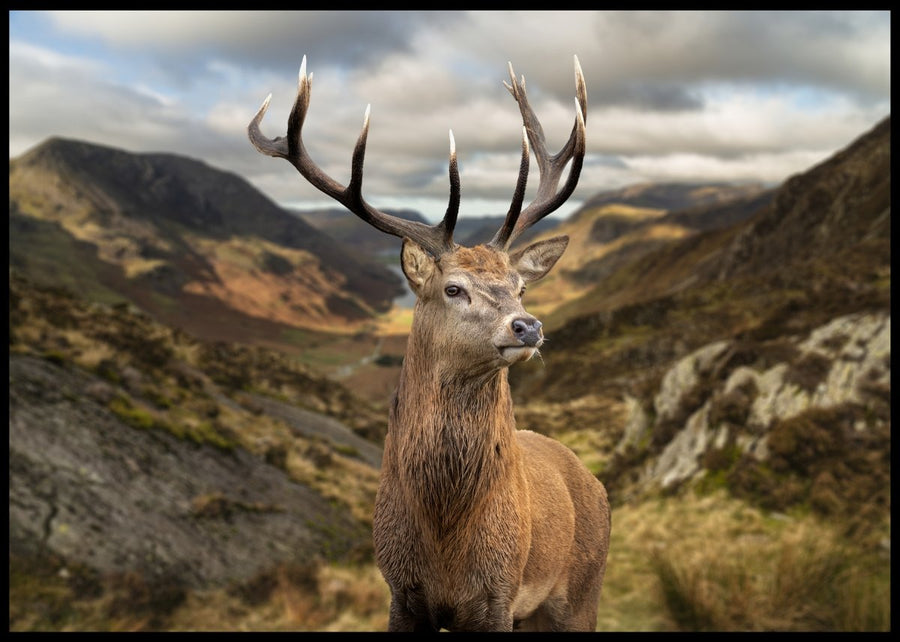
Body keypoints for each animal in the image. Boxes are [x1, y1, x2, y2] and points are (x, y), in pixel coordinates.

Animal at [248, 55, 610, 632]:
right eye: (453, 288)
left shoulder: (497, 596)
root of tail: (593, 482)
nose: (527, 326)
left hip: (581, 593)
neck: (443, 536)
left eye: (521, 287)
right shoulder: (400, 591)